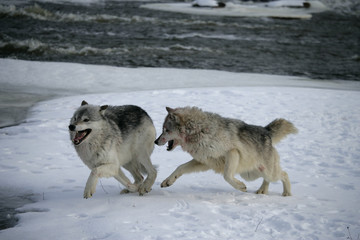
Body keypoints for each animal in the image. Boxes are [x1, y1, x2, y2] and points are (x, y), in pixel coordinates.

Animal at [155, 107, 298, 197]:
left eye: (165, 130)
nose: (155, 141)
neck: (200, 131)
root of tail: (266, 131)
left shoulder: (232, 152)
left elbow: (227, 175)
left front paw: (241, 187)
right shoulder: (204, 162)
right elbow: (180, 167)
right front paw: (168, 181)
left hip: (265, 172)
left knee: (284, 174)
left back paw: (286, 193)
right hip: (251, 174)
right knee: (268, 179)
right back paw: (262, 191)